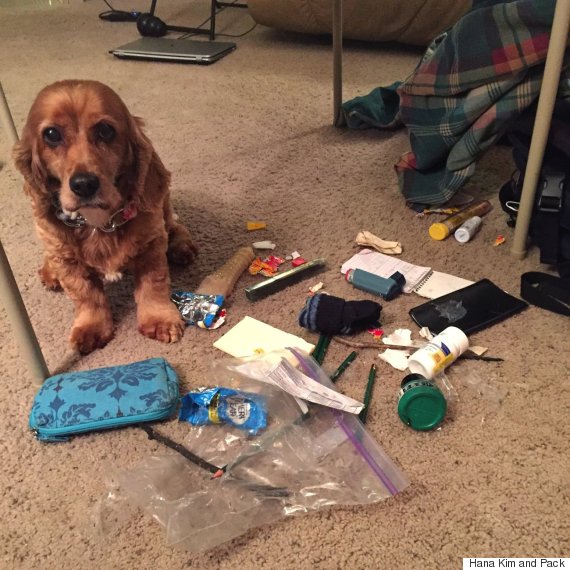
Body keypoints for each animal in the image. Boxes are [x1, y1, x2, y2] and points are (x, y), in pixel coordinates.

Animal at [13, 80, 195, 352]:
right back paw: (49, 272)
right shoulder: (69, 262)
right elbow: (86, 295)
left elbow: (154, 285)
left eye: (105, 130)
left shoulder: (151, 245)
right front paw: (91, 327)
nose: (84, 184)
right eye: (51, 134)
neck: (98, 222)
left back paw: (182, 247)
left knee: (175, 226)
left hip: (163, 209)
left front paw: (159, 319)